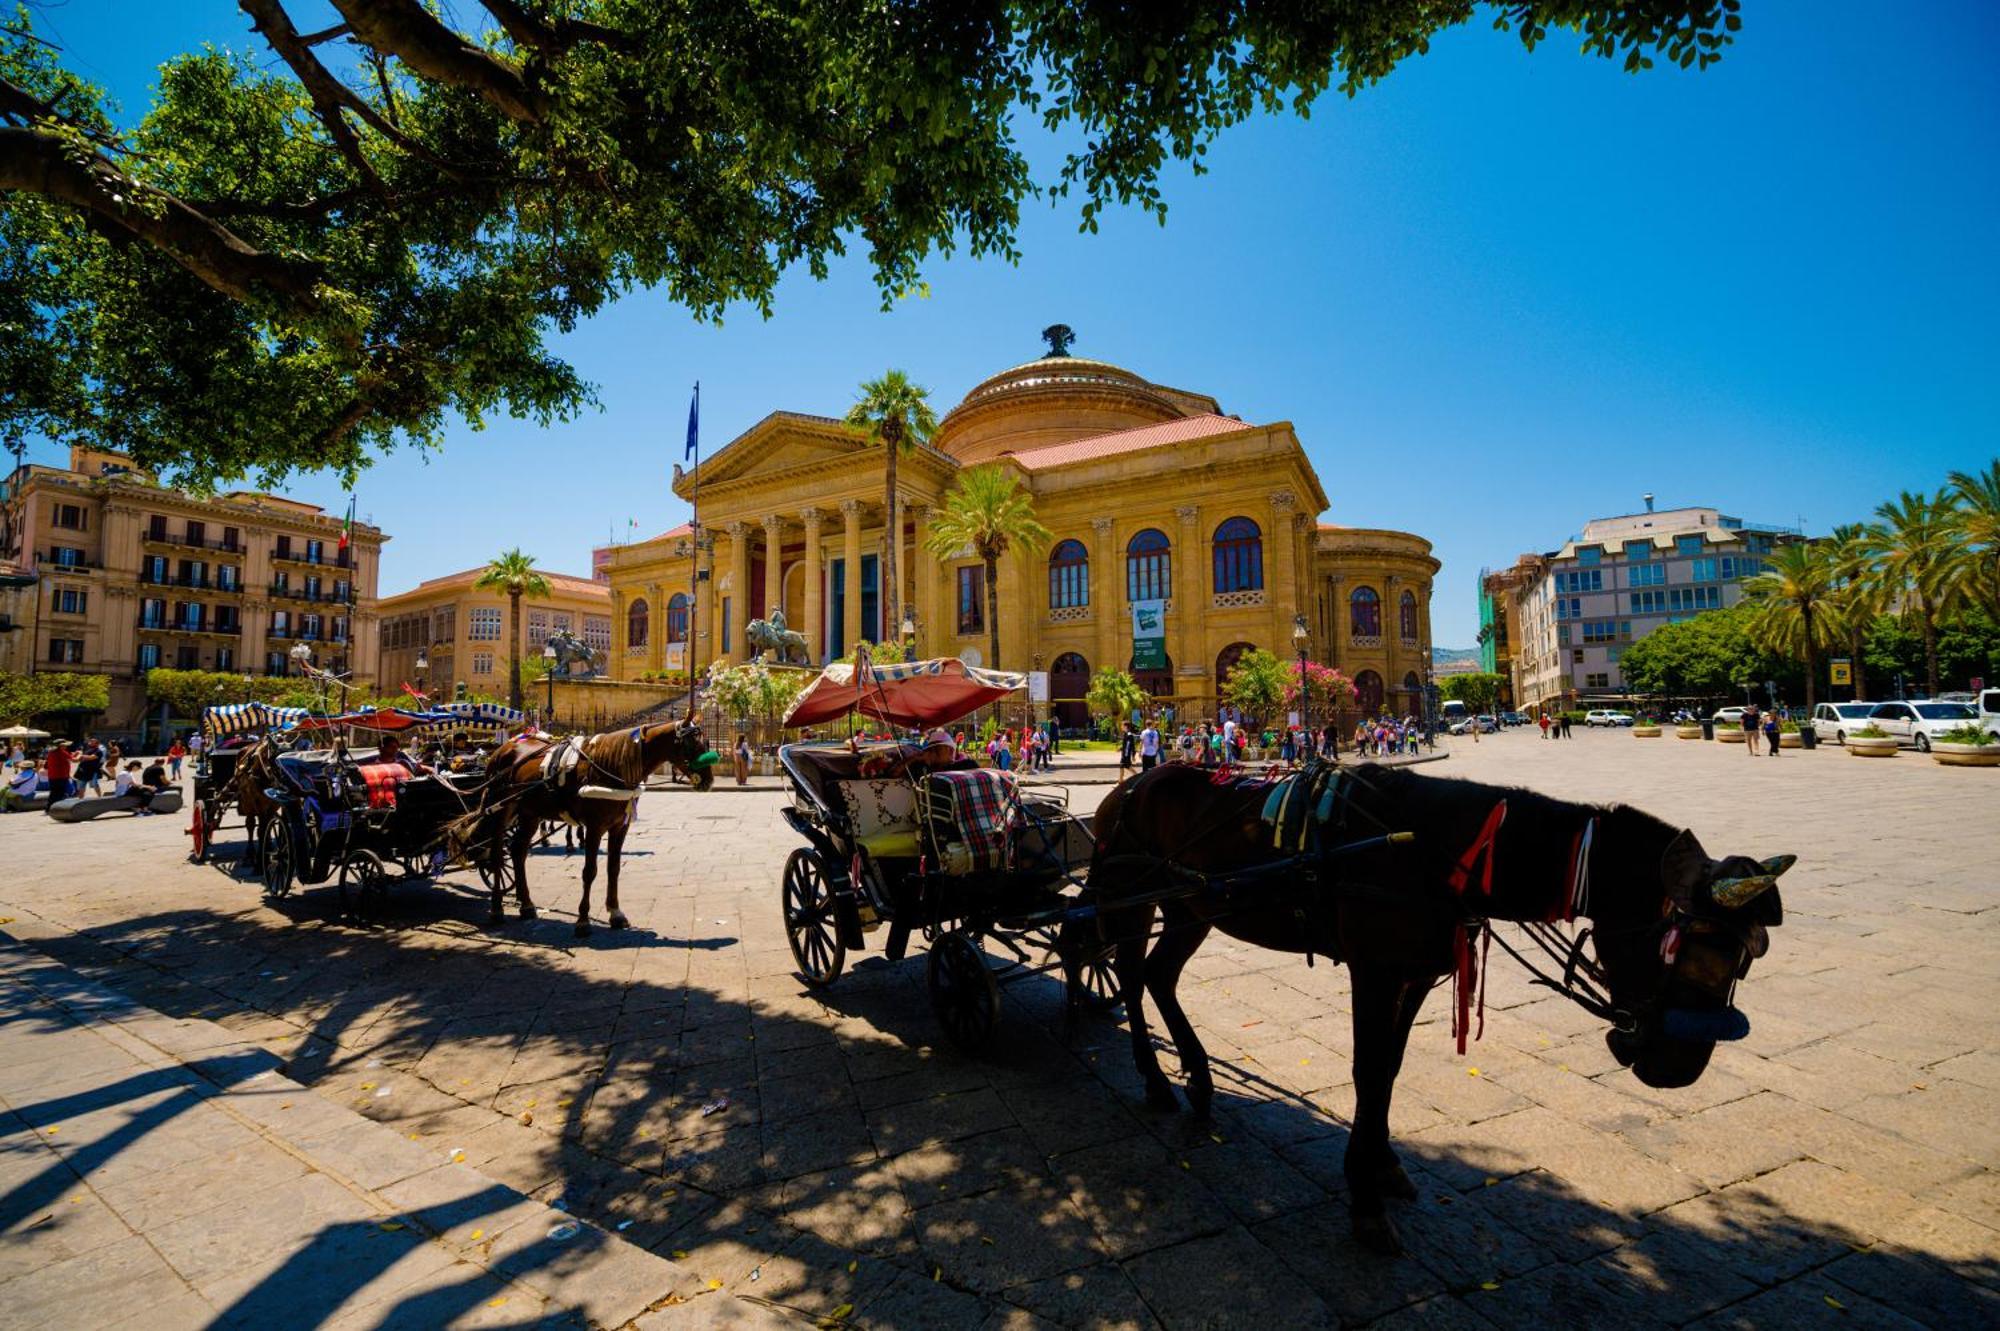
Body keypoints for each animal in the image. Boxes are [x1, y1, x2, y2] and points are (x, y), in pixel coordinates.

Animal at [464, 715, 716, 931]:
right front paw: (583, 920)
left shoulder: (619, 827)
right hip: (500, 809)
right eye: (691, 745)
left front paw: (616, 913)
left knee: (517, 850)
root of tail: (501, 749)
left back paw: (526, 905)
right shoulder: (595, 827)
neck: (613, 766)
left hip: (529, 812)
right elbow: (590, 871)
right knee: (497, 854)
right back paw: (497, 908)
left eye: (706, 742)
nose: (709, 781)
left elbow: (614, 868)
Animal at [1088, 763, 1792, 1247]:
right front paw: (1364, 1201)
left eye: (1744, 961)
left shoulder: (1419, 974)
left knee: (1158, 976)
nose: (1680, 1068)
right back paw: (1155, 1079)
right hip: (1134, 896)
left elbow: (1390, 1072)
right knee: (1130, 974)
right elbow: (1368, 1071)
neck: (1436, 846)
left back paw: (1197, 1080)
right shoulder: (1373, 971)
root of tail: (1127, 786)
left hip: (1191, 907)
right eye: (1688, 948)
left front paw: (1383, 1165)